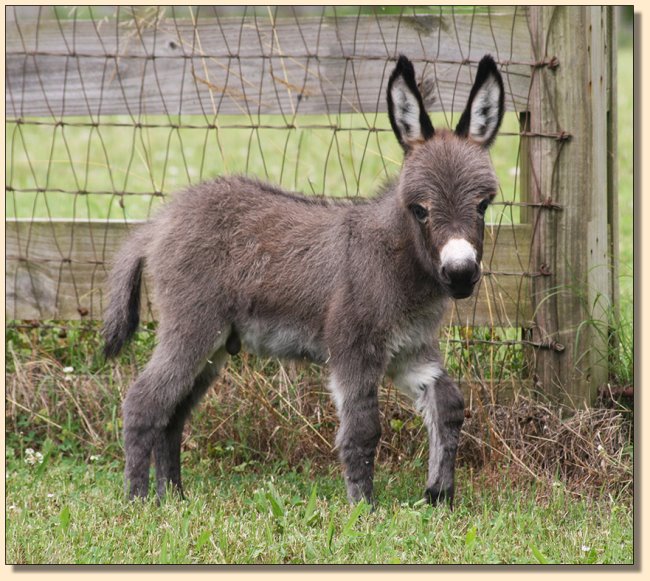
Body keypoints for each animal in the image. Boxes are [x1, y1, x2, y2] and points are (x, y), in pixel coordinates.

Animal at [104, 55, 504, 508]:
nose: (461, 275)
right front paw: (364, 507)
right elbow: (363, 430)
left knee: (172, 415)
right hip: (191, 327)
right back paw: (138, 500)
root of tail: (160, 221)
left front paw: (439, 495)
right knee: (144, 402)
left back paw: (173, 495)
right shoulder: (353, 348)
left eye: (483, 205)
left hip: (214, 345)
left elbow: (448, 405)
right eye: (420, 210)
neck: (397, 259)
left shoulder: (411, 350)